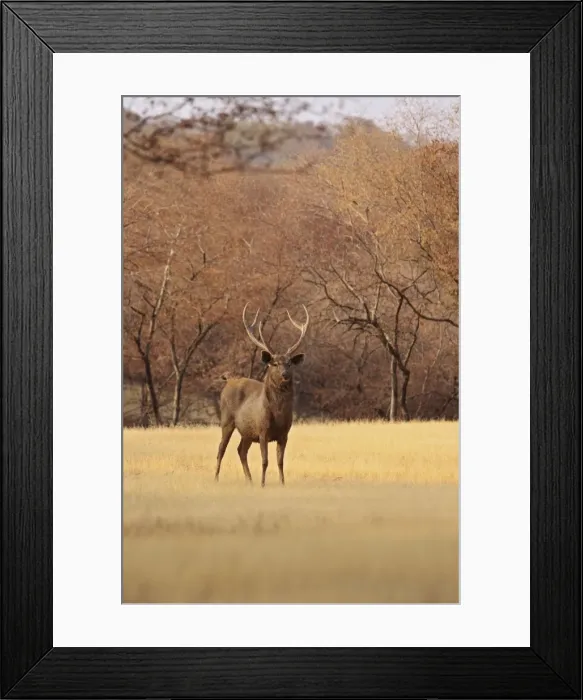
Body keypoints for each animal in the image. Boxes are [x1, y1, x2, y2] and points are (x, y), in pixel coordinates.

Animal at [215, 303, 309, 487]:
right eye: (274, 363)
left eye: (289, 363)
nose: (285, 374)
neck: (278, 413)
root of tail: (229, 379)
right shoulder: (262, 430)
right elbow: (265, 460)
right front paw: (263, 484)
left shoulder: (284, 433)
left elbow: (280, 461)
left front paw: (282, 483)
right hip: (227, 419)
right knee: (221, 449)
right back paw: (216, 478)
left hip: (247, 432)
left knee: (240, 450)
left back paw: (249, 480)